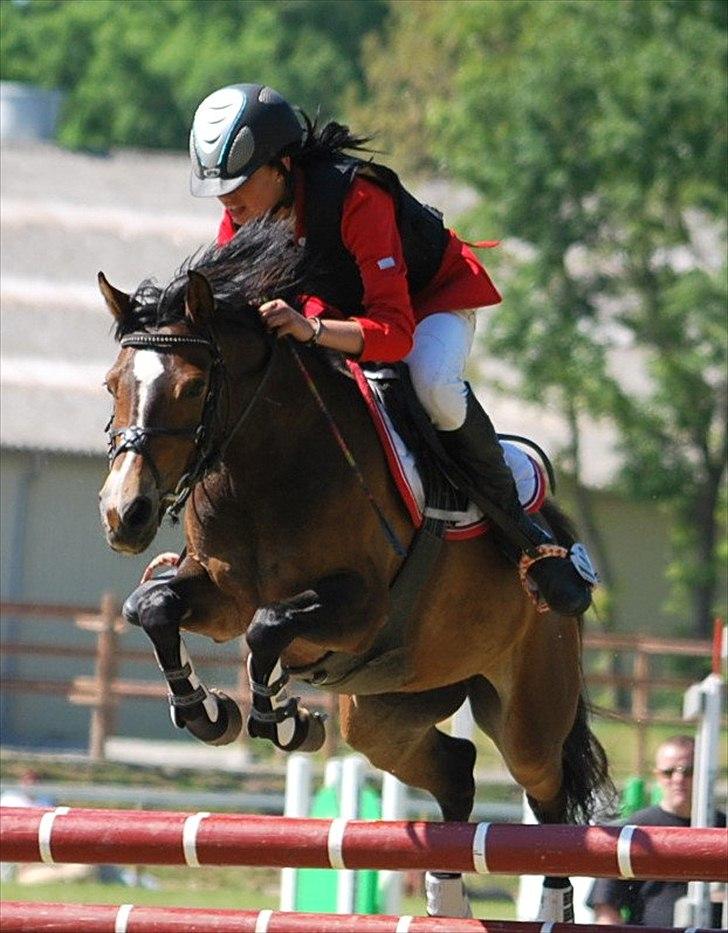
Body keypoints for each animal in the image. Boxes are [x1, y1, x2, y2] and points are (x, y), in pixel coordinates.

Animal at [98, 219, 612, 920]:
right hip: (383, 711)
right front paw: (209, 712)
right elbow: (154, 607)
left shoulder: (359, 607)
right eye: (111, 384)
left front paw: (282, 720)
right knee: (455, 767)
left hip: (529, 708)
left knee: (548, 795)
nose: (126, 513)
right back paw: (448, 901)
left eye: (194, 388)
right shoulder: (220, 593)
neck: (264, 463)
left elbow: (268, 625)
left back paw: (550, 908)